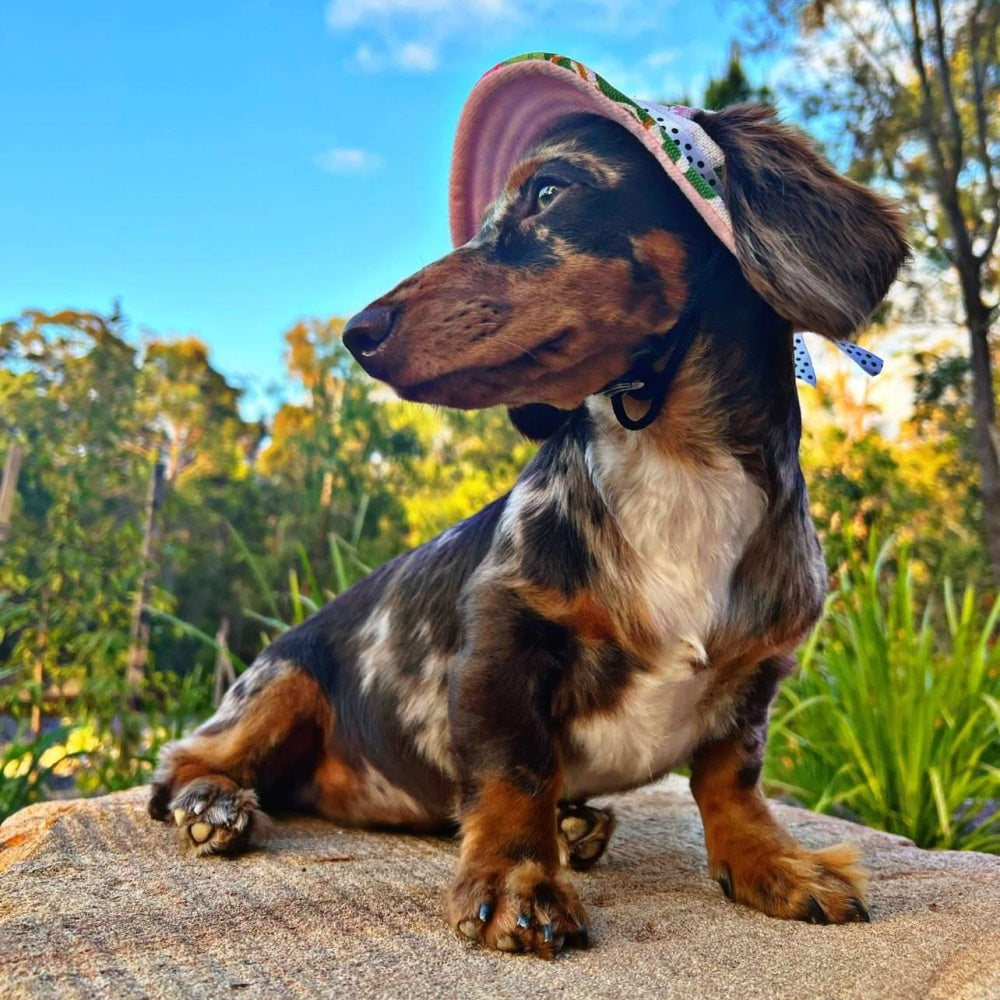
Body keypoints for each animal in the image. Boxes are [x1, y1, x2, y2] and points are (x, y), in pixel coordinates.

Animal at [148, 56, 908, 960]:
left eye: (549, 191)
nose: (357, 333)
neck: (677, 459)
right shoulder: (501, 636)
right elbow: (515, 770)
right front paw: (517, 882)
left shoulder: (758, 672)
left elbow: (732, 779)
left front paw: (773, 864)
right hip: (281, 681)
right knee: (185, 760)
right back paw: (216, 806)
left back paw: (577, 823)